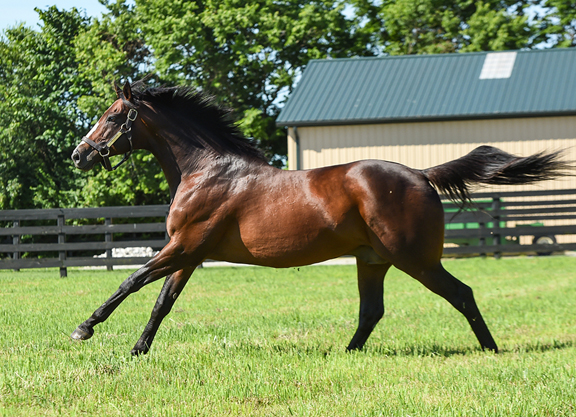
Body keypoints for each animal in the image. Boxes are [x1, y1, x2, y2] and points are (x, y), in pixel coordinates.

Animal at [71, 81, 568, 354]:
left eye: (113, 116)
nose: (79, 154)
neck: (207, 171)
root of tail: (421, 174)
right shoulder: (189, 254)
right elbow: (162, 301)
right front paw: (138, 349)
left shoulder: (184, 246)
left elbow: (131, 281)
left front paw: (84, 328)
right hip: (373, 260)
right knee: (372, 311)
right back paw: (345, 353)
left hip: (416, 259)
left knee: (461, 294)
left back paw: (490, 349)